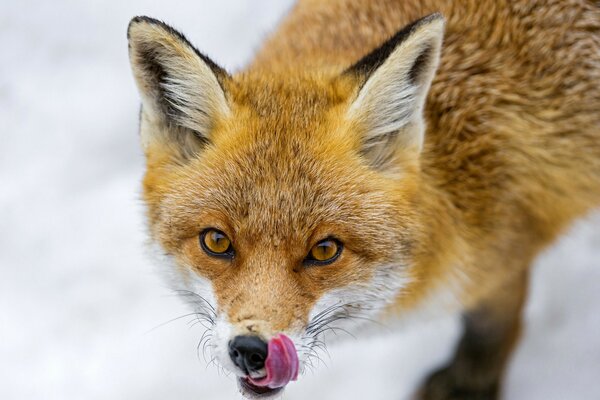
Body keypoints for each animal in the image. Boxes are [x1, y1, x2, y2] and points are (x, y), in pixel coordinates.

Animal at [126, 1, 600, 398]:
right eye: (217, 242)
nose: (251, 350)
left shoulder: (505, 250)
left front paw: (469, 384)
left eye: (325, 250)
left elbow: (491, 323)